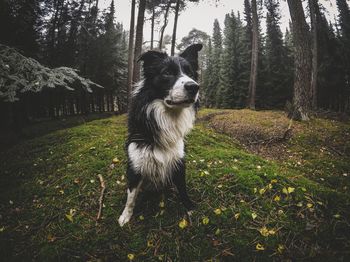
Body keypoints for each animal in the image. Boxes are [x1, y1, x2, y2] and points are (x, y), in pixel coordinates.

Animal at [119, 44, 204, 226]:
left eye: (190, 74)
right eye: (167, 73)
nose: (194, 87)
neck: (168, 116)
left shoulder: (179, 160)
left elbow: (183, 188)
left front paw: (189, 207)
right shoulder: (136, 163)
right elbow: (131, 196)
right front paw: (125, 215)